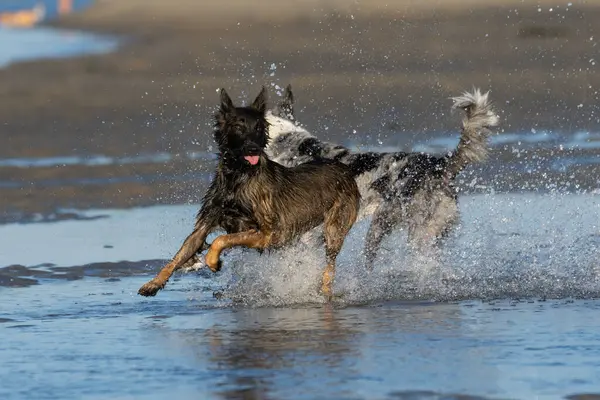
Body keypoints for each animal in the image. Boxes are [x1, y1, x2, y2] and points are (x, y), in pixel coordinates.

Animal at [138, 88, 358, 300]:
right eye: (239, 127)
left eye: (258, 128)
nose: (253, 148)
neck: (237, 177)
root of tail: (345, 169)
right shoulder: (205, 224)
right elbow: (178, 256)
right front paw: (153, 284)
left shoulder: (268, 234)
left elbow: (221, 240)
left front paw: (213, 261)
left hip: (334, 230)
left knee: (329, 268)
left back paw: (325, 293)